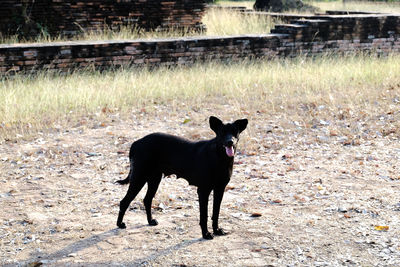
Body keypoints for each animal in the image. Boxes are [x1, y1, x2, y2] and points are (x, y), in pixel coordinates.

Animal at [115, 116, 247, 240]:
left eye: (235, 132)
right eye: (222, 132)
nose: (230, 142)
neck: (219, 157)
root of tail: (137, 142)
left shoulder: (220, 189)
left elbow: (216, 213)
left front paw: (217, 230)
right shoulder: (203, 190)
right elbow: (204, 216)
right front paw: (206, 234)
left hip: (154, 179)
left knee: (147, 200)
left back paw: (150, 221)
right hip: (139, 178)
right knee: (124, 202)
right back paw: (120, 224)